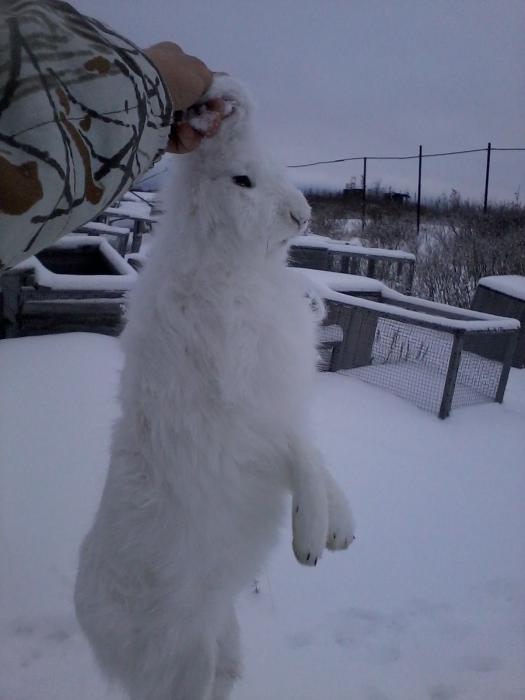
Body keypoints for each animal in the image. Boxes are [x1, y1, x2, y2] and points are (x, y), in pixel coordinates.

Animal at [74, 75, 355, 700]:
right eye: (241, 181)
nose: (302, 214)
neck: (229, 261)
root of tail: (97, 635)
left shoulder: (281, 408)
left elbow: (318, 456)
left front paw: (339, 532)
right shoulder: (252, 413)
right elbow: (303, 455)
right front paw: (310, 541)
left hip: (219, 641)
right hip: (186, 654)